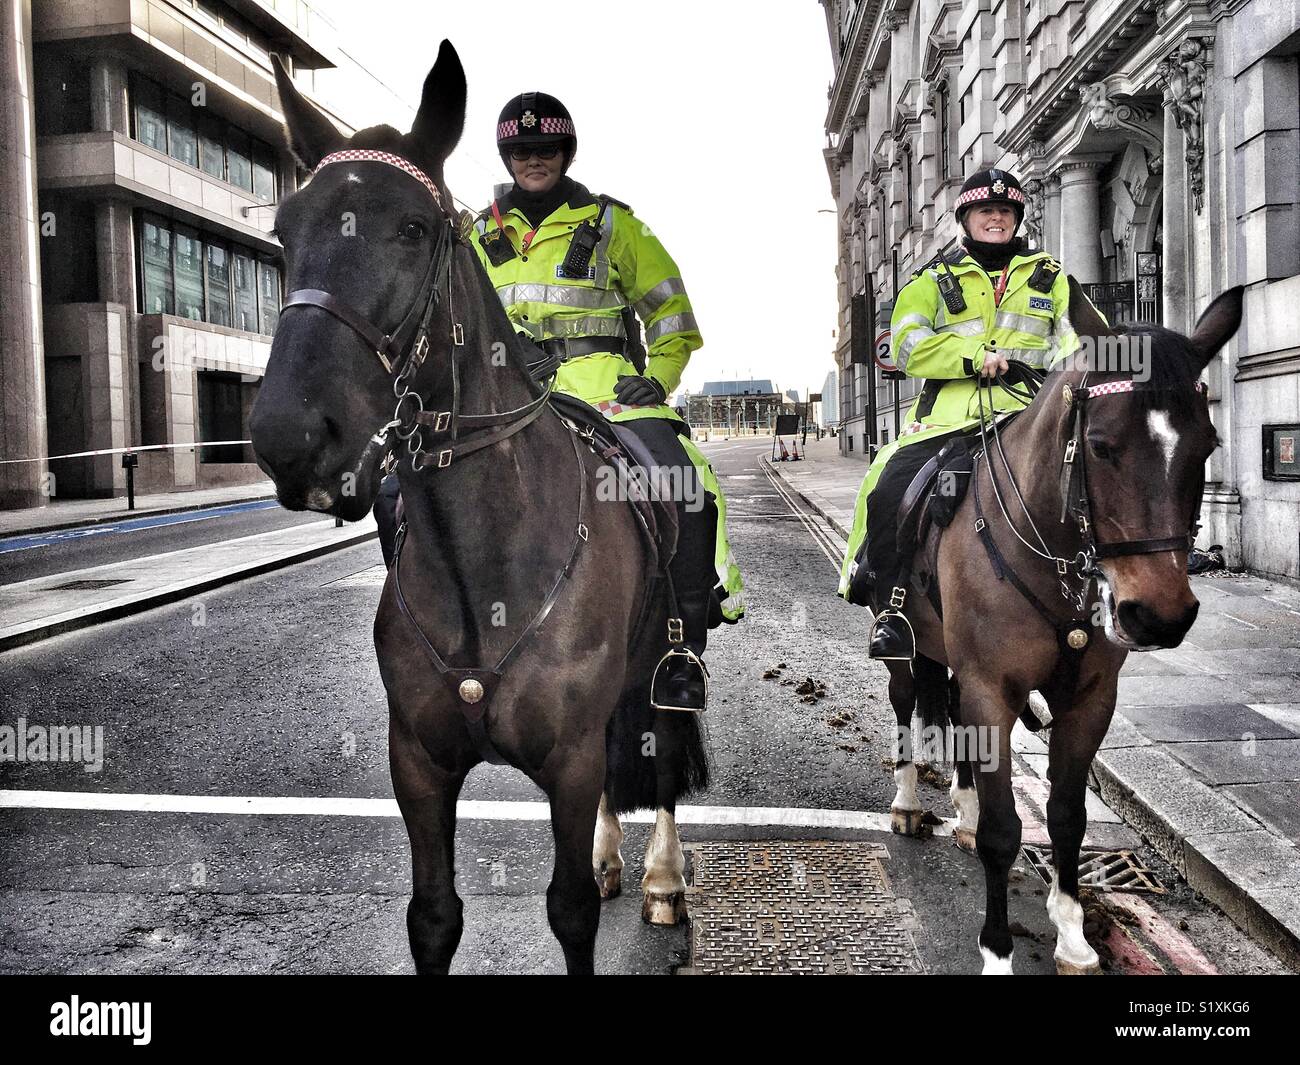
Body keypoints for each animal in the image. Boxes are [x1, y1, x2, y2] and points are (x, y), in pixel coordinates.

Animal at [248, 41, 708, 975]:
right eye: (284, 230)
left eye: (412, 228)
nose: (288, 435)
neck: (482, 566)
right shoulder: (419, 766)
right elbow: (433, 914)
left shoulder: (567, 760)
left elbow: (570, 909)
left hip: (665, 663)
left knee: (661, 757)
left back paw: (661, 876)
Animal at [880, 279, 1241, 974]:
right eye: (1100, 445)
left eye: (1207, 446)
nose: (1158, 614)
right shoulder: (993, 687)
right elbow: (1005, 832)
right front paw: (997, 951)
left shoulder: (1089, 698)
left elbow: (1067, 817)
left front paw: (1073, 934)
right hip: (907, 646)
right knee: (909, 704)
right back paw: (910, 803)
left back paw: (962, 812)